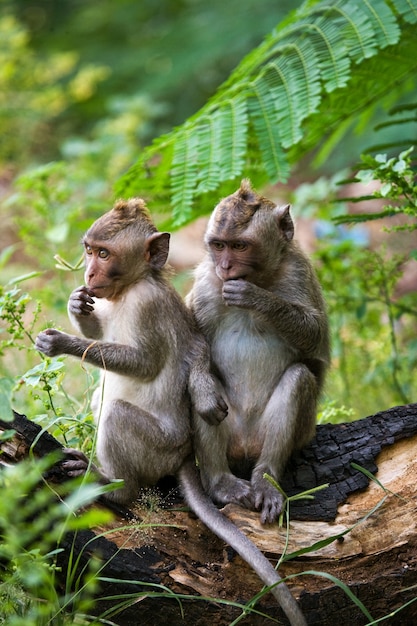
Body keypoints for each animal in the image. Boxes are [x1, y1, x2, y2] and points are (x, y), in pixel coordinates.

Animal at [35, 197, 308, 624]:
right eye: (89, 250)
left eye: (104, 253)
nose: (90, 272)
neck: (130, 288)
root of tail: (183, 454)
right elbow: (101, 333)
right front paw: (77, 305)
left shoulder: (147, 305)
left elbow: (144, 363)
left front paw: (62, 341)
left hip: (159, 447)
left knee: (116, 415)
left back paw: (113, 485)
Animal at [187, 178, 330, 524]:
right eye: (219, 245)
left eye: (240, 246)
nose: (226, 266)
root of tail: (246, 446)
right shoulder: (206, 281)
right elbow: (190, 339)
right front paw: (203, 391)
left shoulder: (299, 272)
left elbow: (316, 335)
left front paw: (256, 298)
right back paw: (221, 482)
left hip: (295, 433)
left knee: (298, 378)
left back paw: (266, 479)